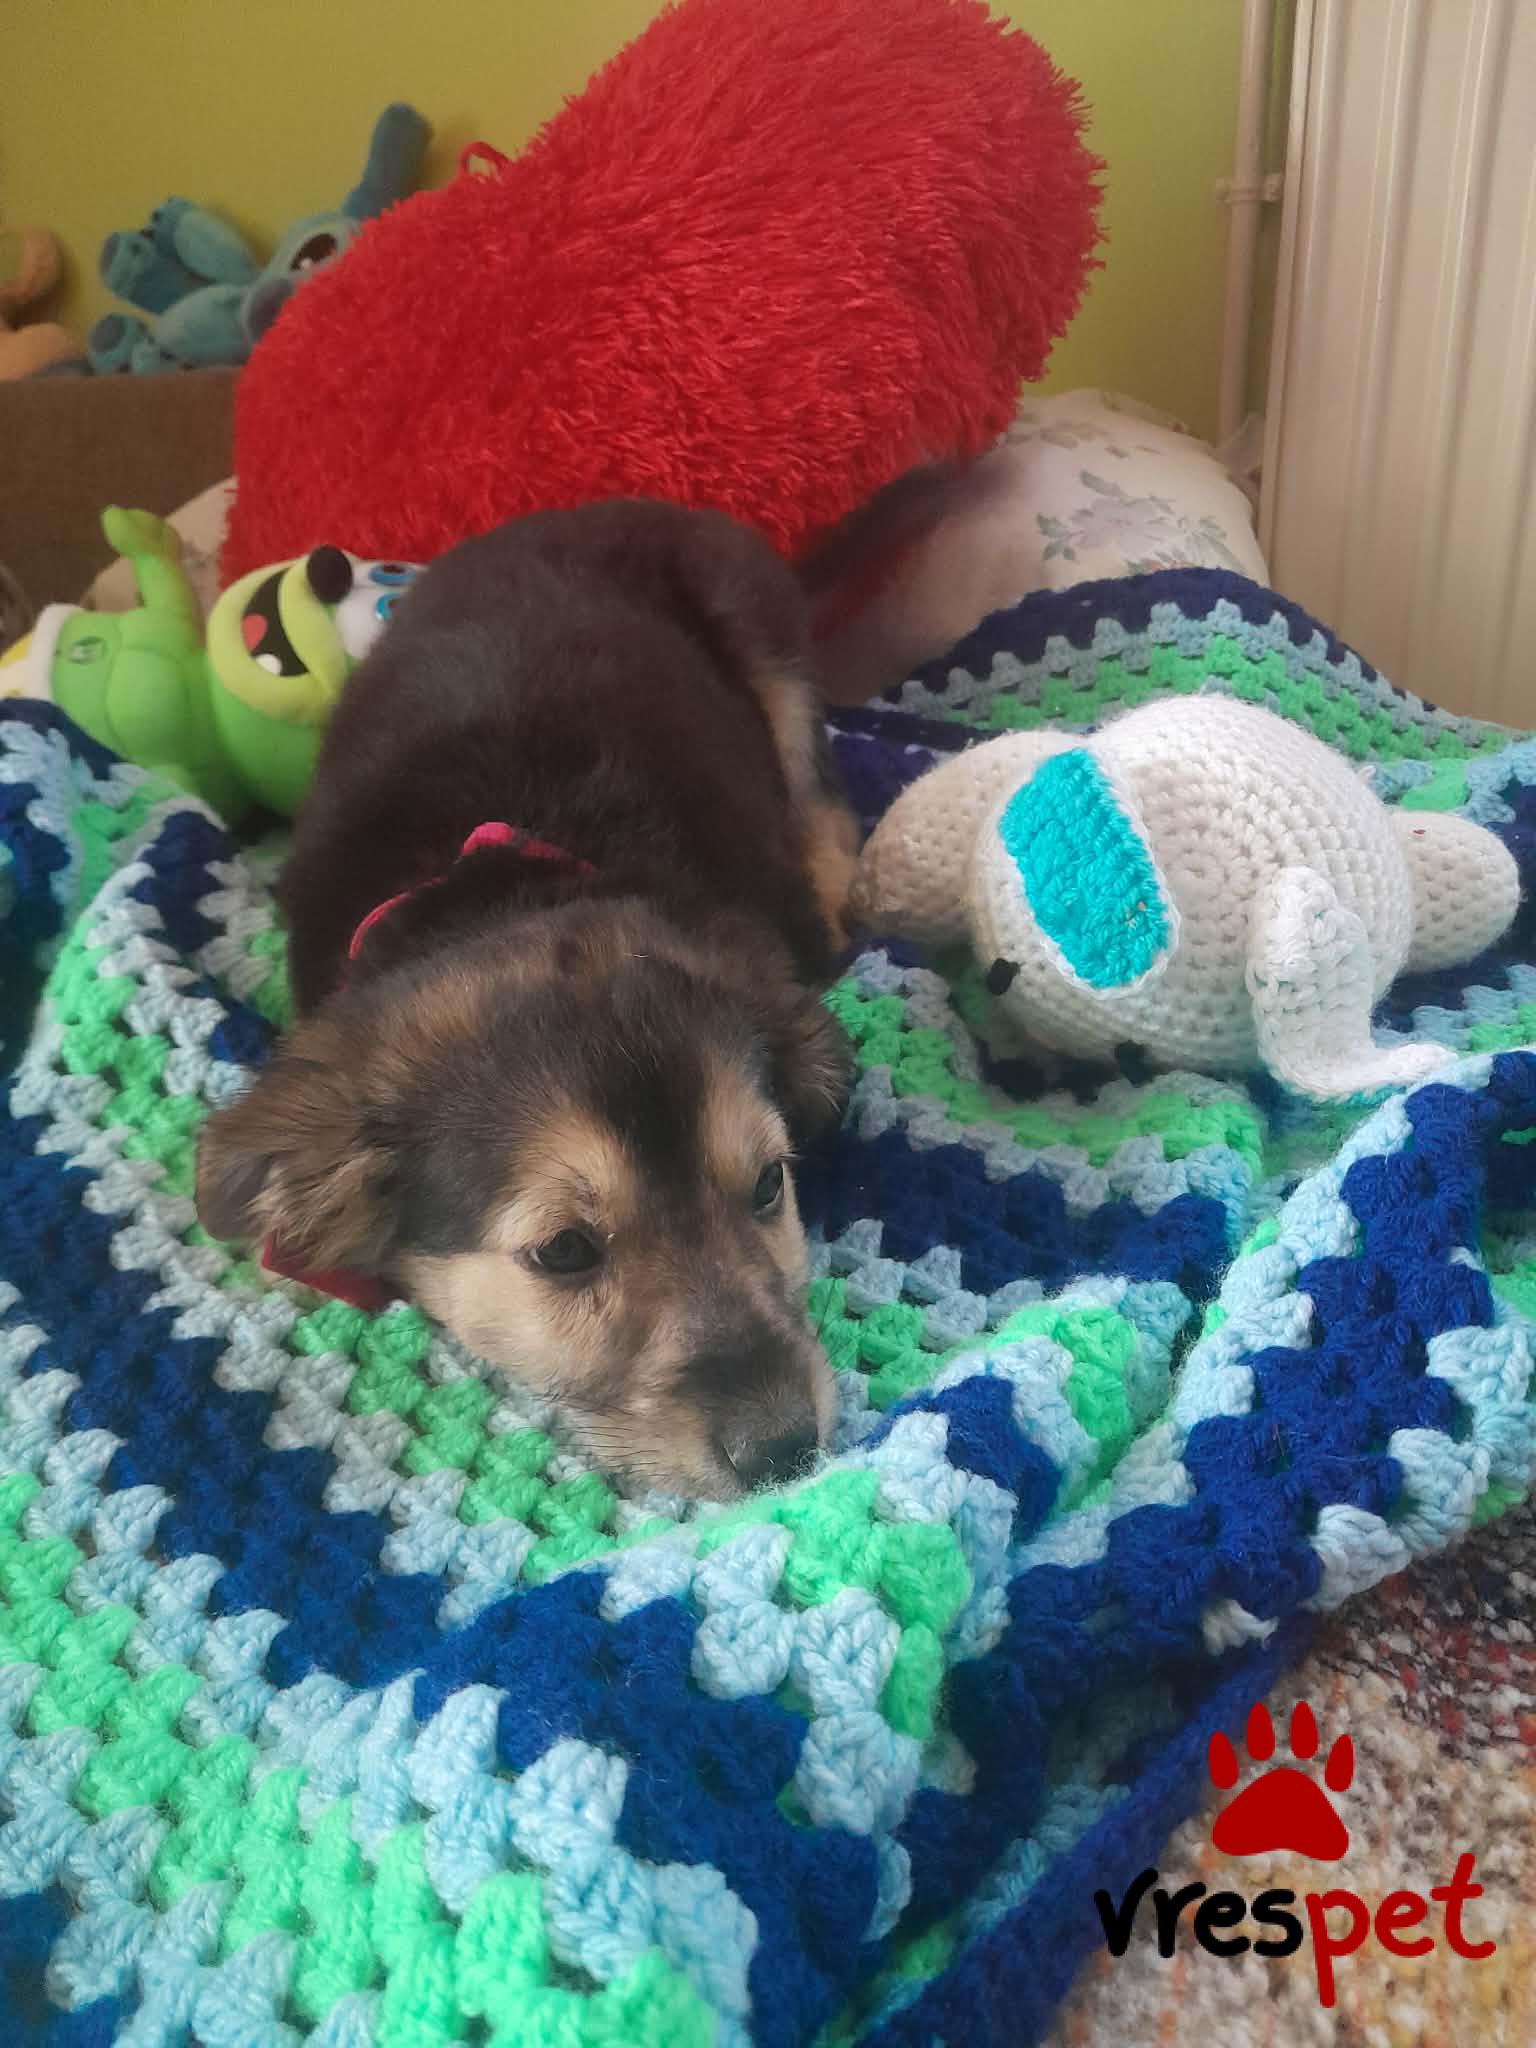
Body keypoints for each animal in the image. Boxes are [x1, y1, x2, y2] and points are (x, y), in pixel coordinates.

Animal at [195, 498, 861, 1498]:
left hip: (770, 653)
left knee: (829, 806)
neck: (489, 892)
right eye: (565, 1252)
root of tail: (601, 504)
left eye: (768, 1186)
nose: (785, 1452)